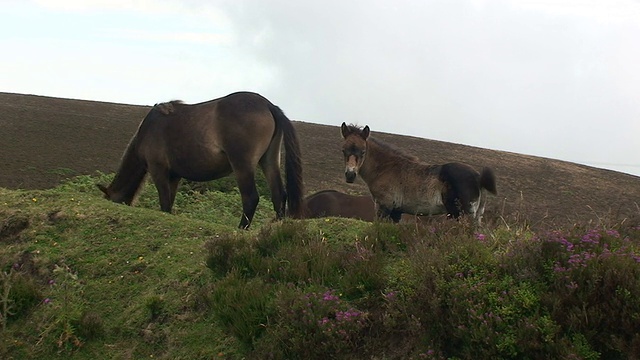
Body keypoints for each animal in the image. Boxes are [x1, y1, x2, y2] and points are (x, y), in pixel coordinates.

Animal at [96, 91, 304, 229]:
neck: (148, 130)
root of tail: (268, 105)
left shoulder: (158, 170)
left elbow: (164, 202)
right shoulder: (174, 176)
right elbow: (169, 202)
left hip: (242, 165)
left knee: (251, 197)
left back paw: (241, 229)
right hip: (269, 161)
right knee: (278, 195)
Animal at [340, 124, 496, 225]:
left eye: (363, 151)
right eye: (343, 150)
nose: (350, 175)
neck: (386, 167)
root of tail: (478, 177)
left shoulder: (384, 207)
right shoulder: (396, 212)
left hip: (461, 214)